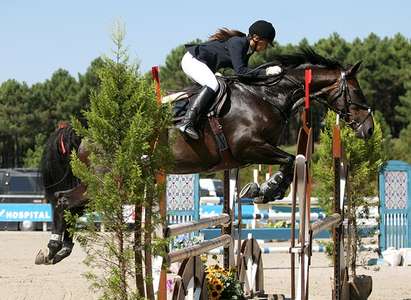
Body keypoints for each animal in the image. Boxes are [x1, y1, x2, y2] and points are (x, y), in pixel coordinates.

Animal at [37, 47, 374, 264]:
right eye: (357, 92)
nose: (369, 129)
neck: (267, 95)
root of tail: (85, 131)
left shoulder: (245, 157)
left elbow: (289, 164)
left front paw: (261, 189)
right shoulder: (248, 146)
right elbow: (290, 161)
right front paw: (266, 189)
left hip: (104, 183)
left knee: (71, 204)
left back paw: (59, 249)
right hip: (106, 180)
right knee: (65, 201)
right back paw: (53, 248)